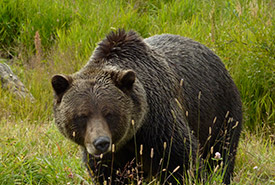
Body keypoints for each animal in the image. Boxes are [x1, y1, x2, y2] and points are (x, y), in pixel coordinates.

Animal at [51, 28, 242, 184]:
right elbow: (106, 174)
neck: (132, 136)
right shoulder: (108, 157)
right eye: (82, 115)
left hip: (221, 112)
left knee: (223, 152)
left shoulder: (159, 125)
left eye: (109, 113)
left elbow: (182, 162)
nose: (101, 142)